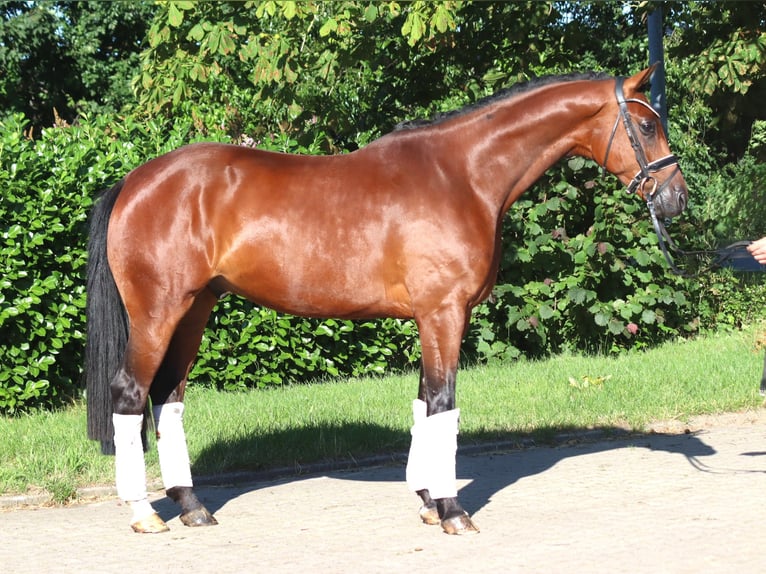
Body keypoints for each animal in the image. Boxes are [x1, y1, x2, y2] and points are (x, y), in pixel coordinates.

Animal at [86, 65, 687, 535]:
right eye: (647, 124)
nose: (676, 198)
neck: (462, 176)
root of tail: (136, 181)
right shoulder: (443, 313)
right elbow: (443, 404)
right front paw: (452, 511)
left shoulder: (435, 315)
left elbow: (424, 404)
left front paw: (426, 501)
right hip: (159, 312)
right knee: (130, 393)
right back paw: (143, 512)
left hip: (195, 310)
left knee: (167, 398)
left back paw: (192, 506)